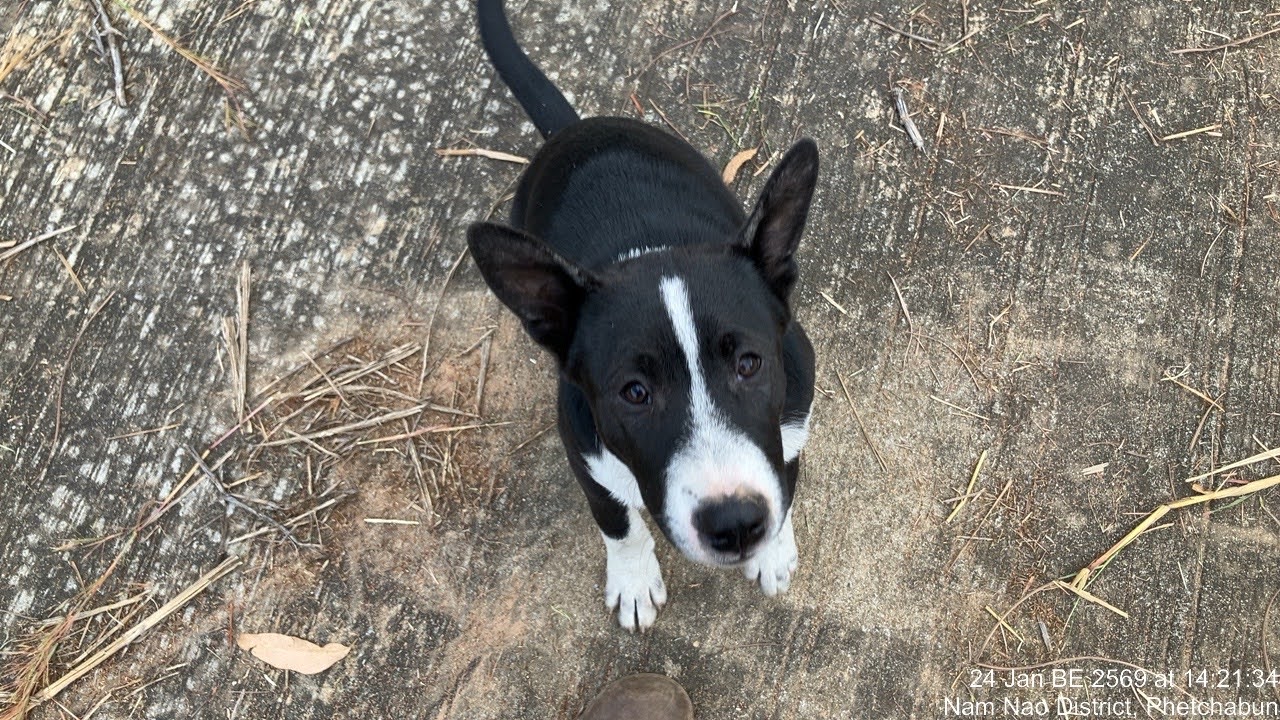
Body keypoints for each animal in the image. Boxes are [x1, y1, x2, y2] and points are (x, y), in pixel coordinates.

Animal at [467, 0, 818, 631]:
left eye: (750, 363)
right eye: (634, 392)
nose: (735, 525)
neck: (650, 251)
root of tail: (576, 128)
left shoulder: (792, 423)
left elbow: (786, 481)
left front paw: (774, 552)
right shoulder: (587, 457)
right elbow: (620, 524)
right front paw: (633, 581)